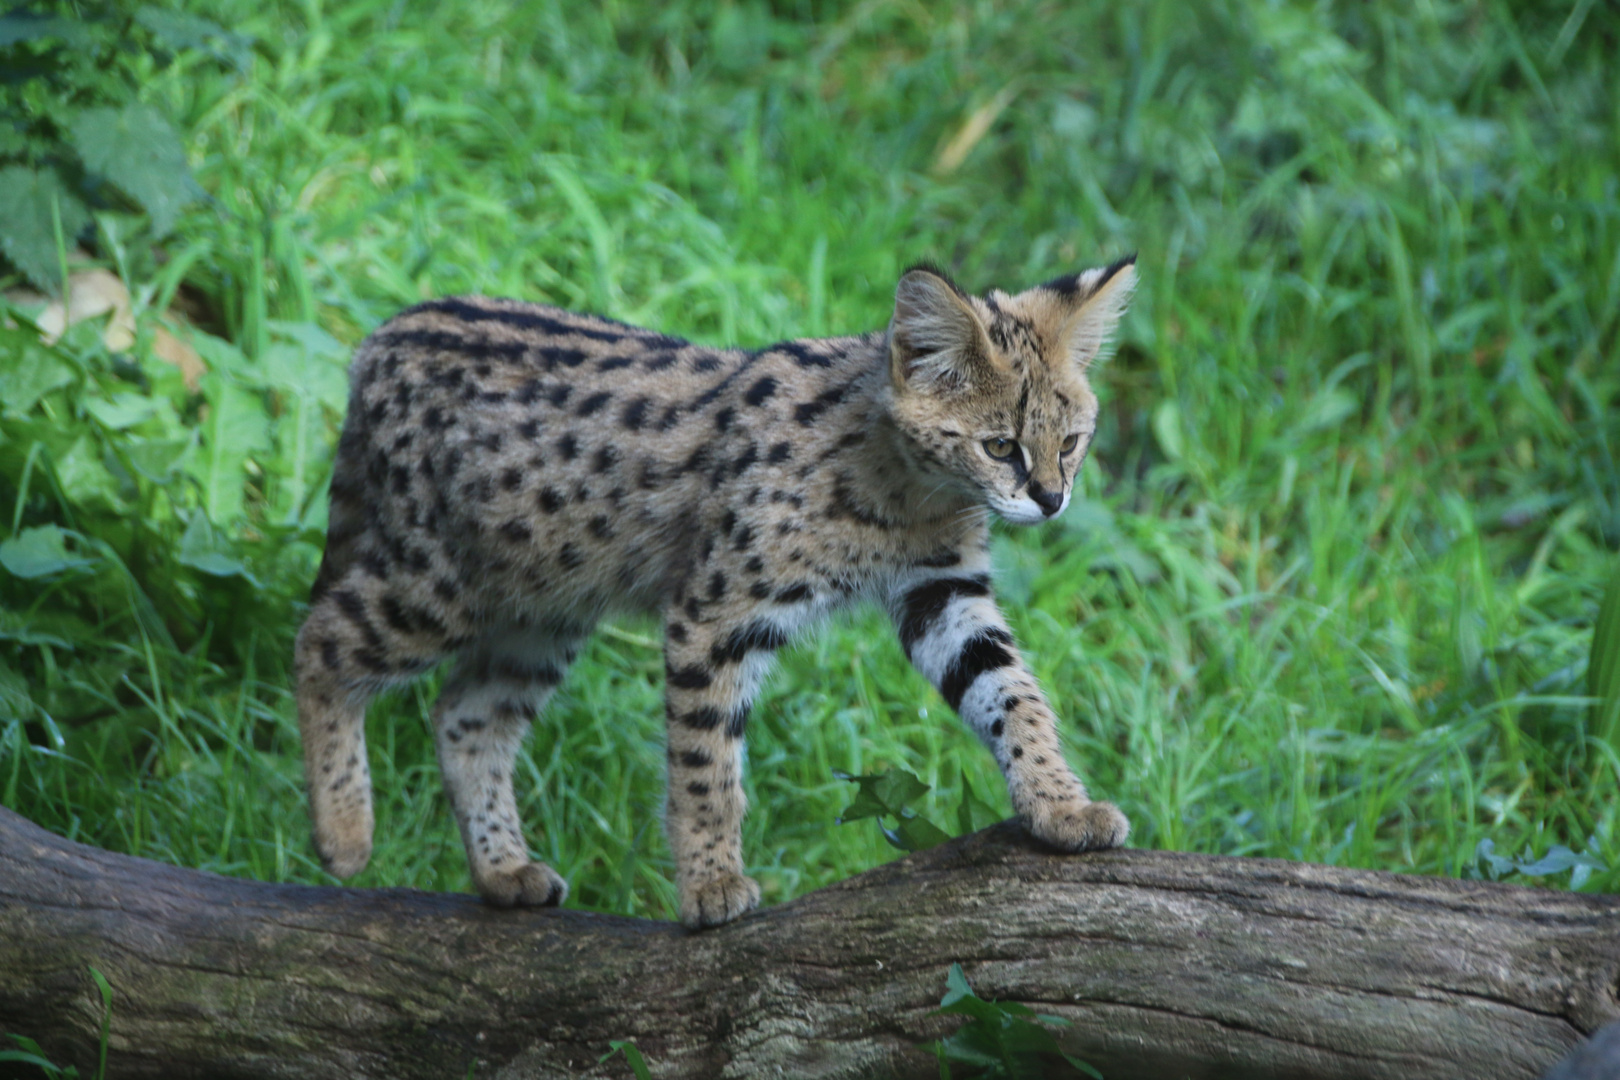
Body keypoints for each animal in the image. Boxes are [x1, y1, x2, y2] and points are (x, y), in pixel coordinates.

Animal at [301, 259, 1140, 932]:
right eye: (1001, 446)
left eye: (1070, 443)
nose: (1053, 501)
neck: (909, 494)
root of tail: (383, 335)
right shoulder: (717, 610)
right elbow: (705, 761)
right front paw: (710, 885)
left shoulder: (944, 593)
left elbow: (1013, 693)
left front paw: (1060, 805)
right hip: (438, 581)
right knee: (319, 639)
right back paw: (343, 833)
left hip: (545, 606)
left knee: (465, 715)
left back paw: (503, 870)